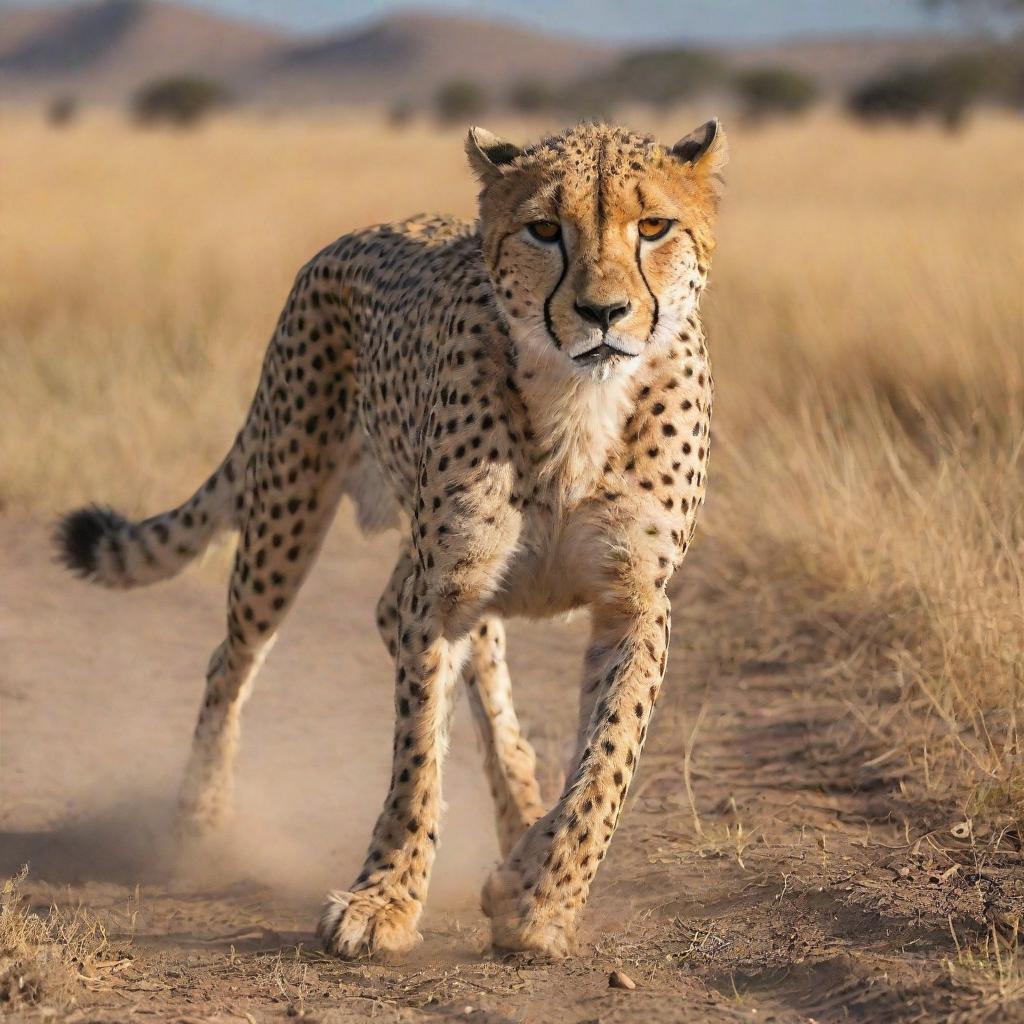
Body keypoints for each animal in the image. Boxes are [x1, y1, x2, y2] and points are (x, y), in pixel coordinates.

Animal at [56, 119, 729, 958]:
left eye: (654, 227)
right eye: (546, 229)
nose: (603, 312)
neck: (577, 403)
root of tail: (363, 230)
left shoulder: (634, 604)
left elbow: (607, 762)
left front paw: (538, 895)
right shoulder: (444, 593)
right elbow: (415, 760)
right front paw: (386, 900)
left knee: (437, 647)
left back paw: (517, 820)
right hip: (289, 506)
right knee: (233, 658)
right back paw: (200, 822)